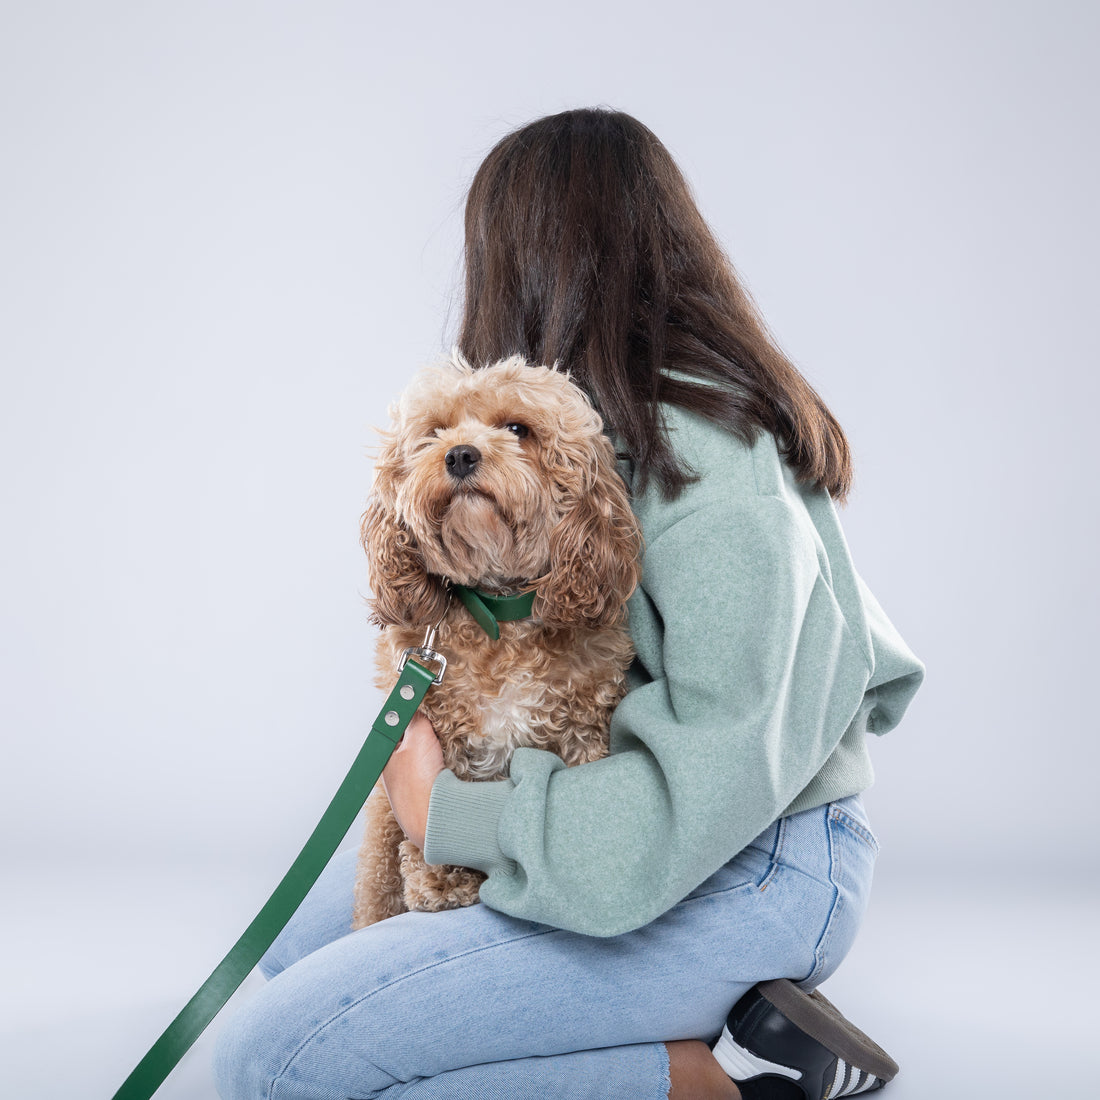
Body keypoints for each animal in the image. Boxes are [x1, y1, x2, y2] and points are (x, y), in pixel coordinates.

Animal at [352, 352, 642, 928]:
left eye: (517, 429)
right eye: (434, 433)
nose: (460, 454)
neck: (500, 614)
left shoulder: (584, 727)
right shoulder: (435, 725)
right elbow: (431, 810)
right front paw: (441, 879)